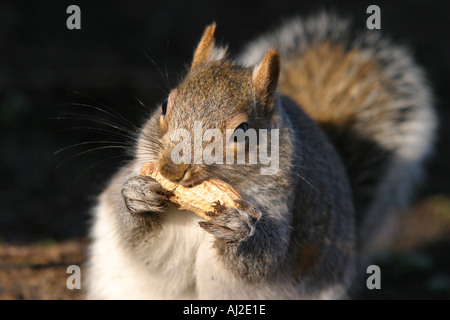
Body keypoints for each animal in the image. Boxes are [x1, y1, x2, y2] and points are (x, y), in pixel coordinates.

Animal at [85, 13, 436, 298]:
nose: (171, 170)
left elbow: (265, 258)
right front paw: (136, 195)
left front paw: (238, 230)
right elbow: (140, 239)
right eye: (164, 105)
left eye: (242, 131)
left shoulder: (283, 206)